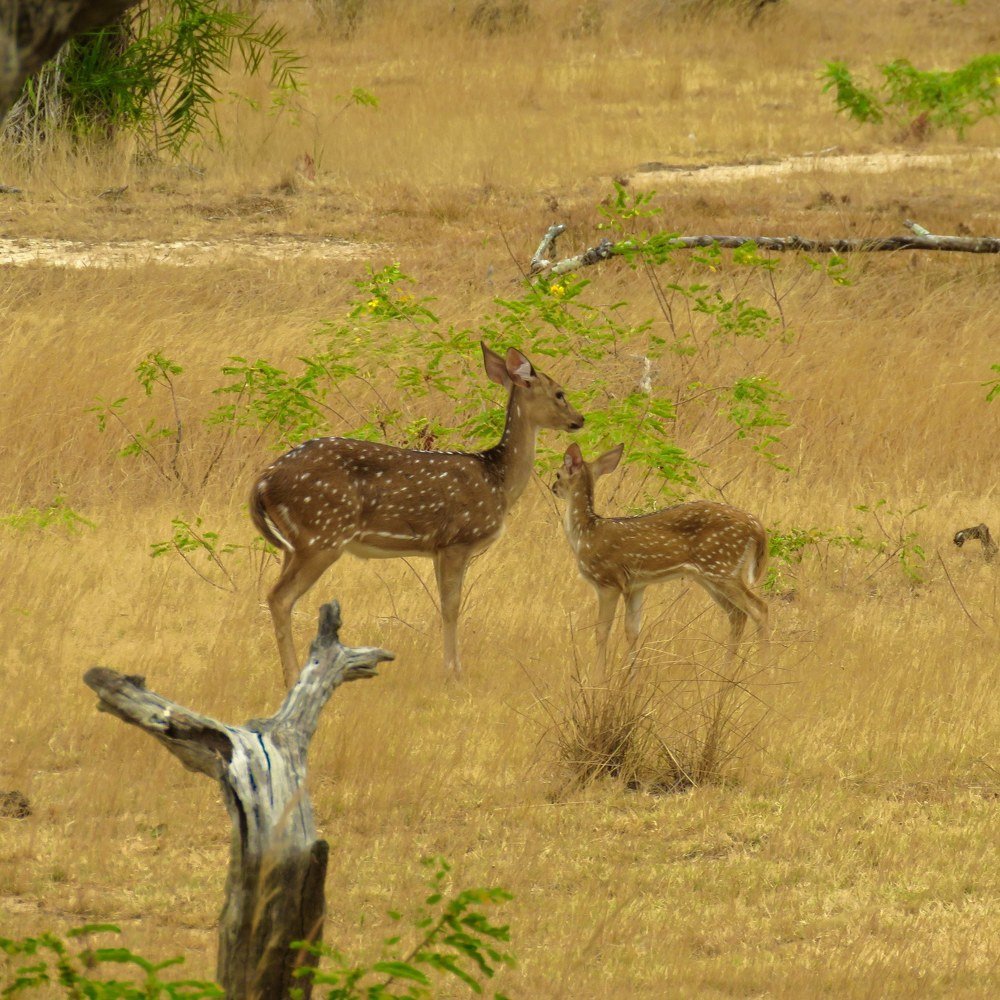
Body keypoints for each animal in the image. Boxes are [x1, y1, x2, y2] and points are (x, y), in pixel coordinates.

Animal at [251, 343, 585, 686]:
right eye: (559, 393)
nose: (580, 419)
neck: (498, 480)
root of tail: (263, 481)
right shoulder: (457, 540)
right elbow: (451, 606)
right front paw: (453, 672)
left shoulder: (438, 548)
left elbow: (444, 604)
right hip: (323, 534)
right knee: (280, 597)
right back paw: (294, 677)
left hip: (296, 544)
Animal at [551, 442, 769, 671]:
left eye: (558, 473)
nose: (553, 488)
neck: (585, 534)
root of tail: (757, 527)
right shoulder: (636, 585)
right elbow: (632, 631)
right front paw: (630, 674)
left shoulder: (607, 580)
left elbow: (602, 632)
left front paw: (599, 674)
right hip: (710, 575)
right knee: (737, 614)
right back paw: (726, 670)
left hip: (721, 567)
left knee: (759, 609)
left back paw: (763, 667)